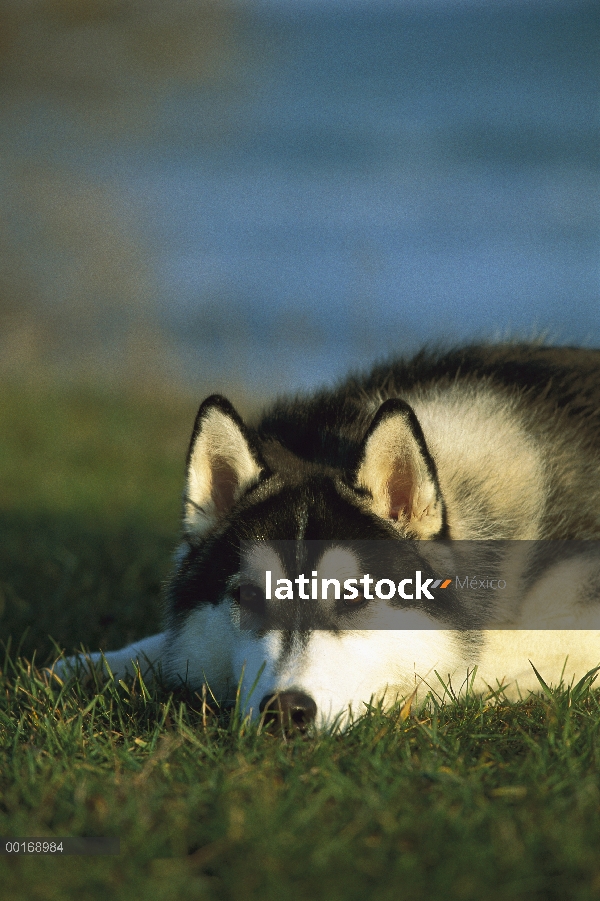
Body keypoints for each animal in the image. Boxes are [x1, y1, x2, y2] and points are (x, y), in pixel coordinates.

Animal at [52, 346, 600, 732]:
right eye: (247, 596)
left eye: (354, 596)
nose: (285, 711)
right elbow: (166, 646)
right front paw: (91, 663)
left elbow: (474, 659)